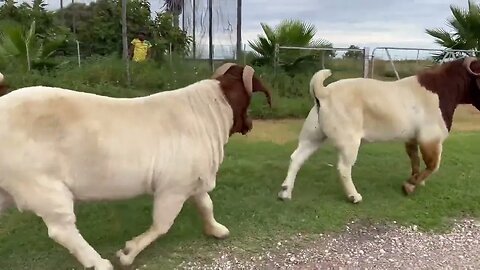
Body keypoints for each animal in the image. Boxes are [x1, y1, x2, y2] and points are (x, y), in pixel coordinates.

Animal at [0, 62, 270, 268]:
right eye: (247, 98)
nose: (250, 124)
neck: (208, 111)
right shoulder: (173, 188)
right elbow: (162, 224)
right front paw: (128, 253)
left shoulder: (193, 180)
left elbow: (206, 204)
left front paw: (216, 230)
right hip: (41, 186)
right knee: (62, 230)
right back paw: (99, 263)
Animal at [278, 58, 480, 204]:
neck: (442, 87)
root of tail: (324, 92)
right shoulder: (431, 139)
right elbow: (433, 166)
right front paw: (410, 186)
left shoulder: (412, 139)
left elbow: (415, 161)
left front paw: (416, 180)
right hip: (349, 141)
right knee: (344, 167)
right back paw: (354, 196)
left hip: (313, 136)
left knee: (297, 157)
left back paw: (286, 192)